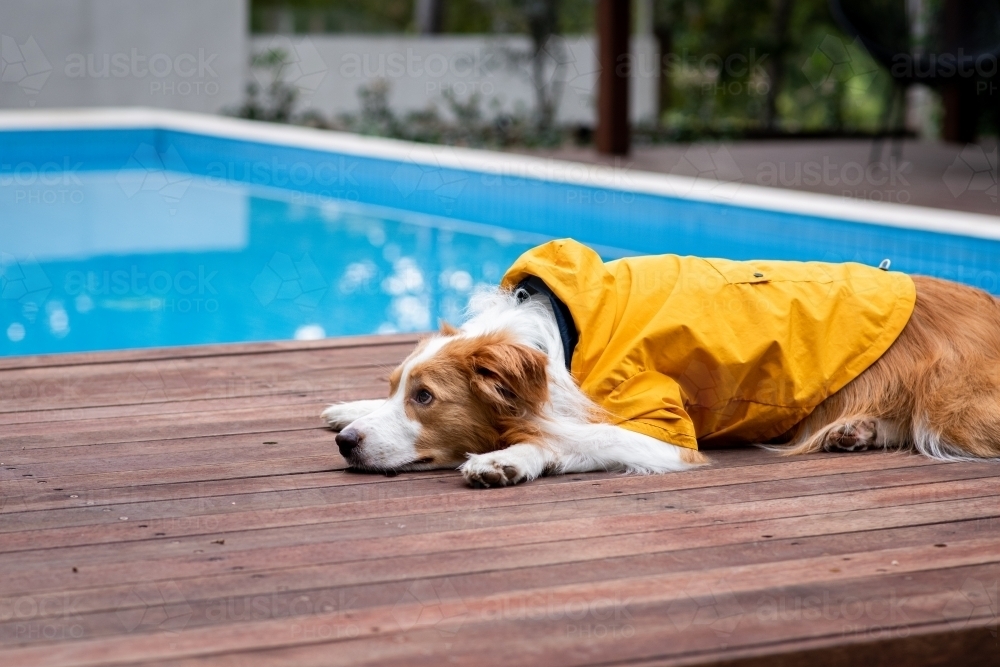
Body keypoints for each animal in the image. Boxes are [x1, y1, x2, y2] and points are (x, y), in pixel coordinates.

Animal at [324, 237, 1000, 488]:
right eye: (399, 388)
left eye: (427, 398)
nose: (348, 444)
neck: (556, 339)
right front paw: (347, 407)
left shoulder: (664, 431)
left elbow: (576, 438)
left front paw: (509, 456)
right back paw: (853, 431)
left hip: (952, 404)